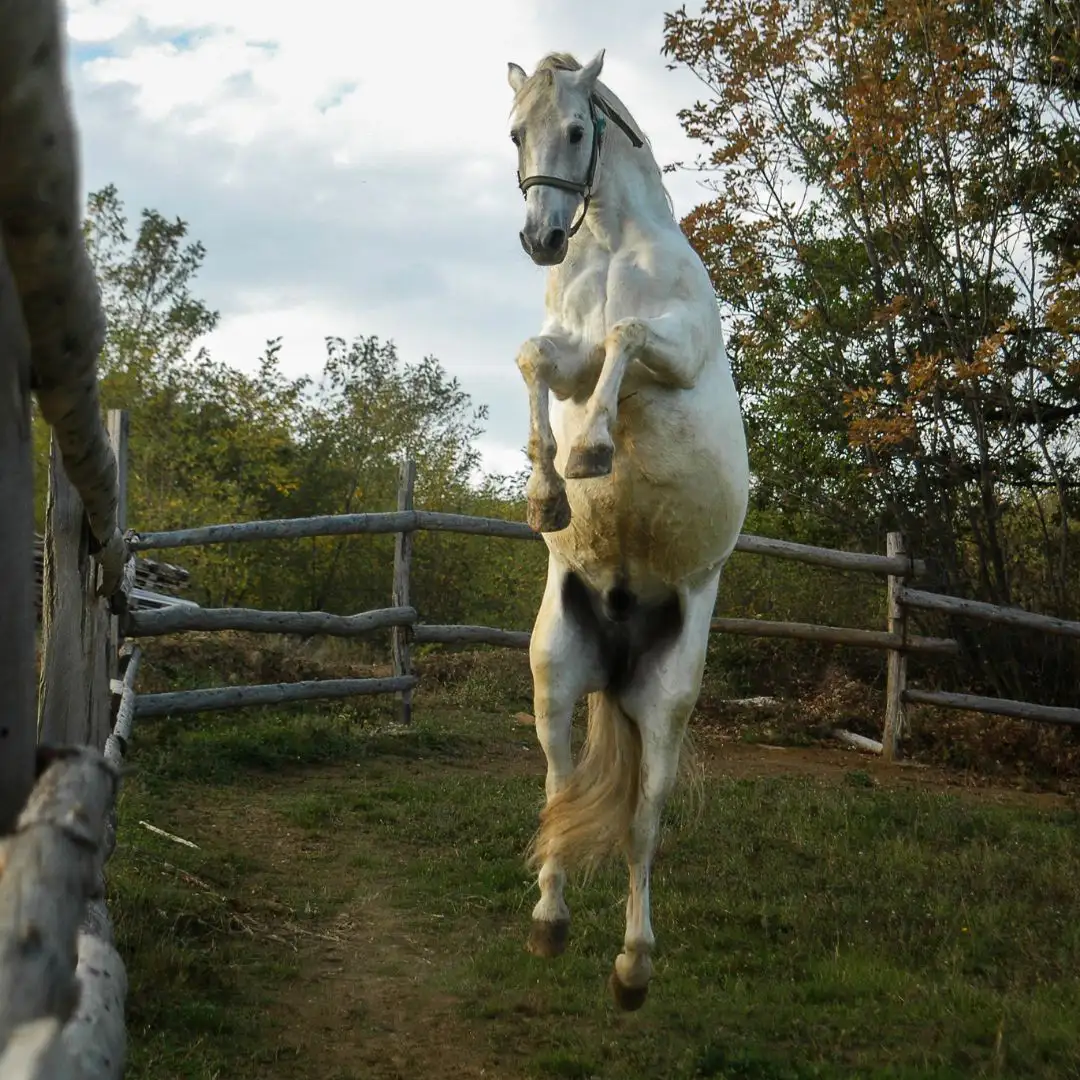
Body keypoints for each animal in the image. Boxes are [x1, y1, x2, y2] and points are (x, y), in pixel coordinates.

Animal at [505, 49, 750, 1009]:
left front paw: (595, 452)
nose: (540, 239)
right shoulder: (566, 356)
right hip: (556, 680)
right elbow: (541, 354)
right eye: (516, 133)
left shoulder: (673, 349)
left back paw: (633, 966)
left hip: (669, 701)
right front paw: (549, 494)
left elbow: (629, 332)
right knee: (558, 786)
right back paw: (548, 922)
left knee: (644, 824)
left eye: (577, 130)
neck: (609, 246)